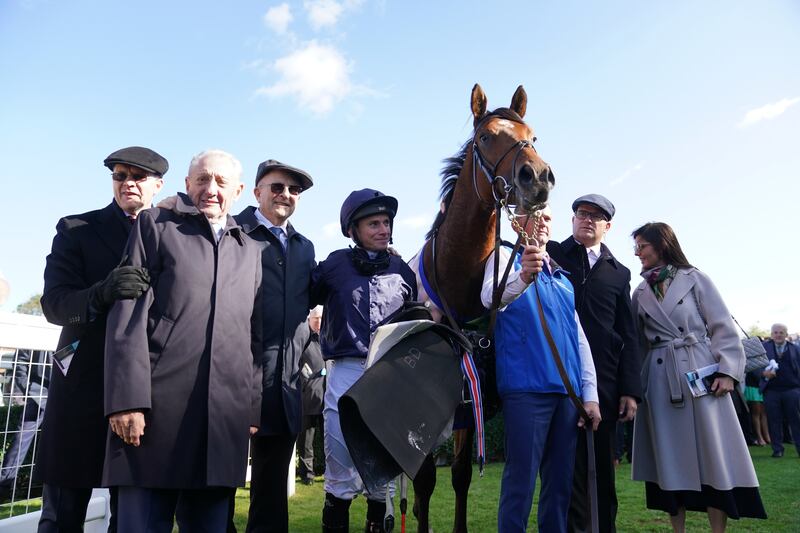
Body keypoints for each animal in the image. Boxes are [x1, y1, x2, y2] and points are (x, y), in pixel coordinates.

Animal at [410, 84, 552, 532]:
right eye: (487, 137)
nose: (537, 177)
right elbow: (424, 479)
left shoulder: (467, 408)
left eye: (533, 135)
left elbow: (459, 475)